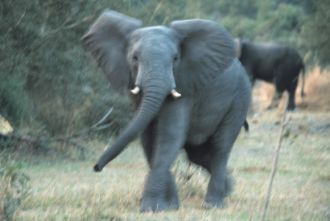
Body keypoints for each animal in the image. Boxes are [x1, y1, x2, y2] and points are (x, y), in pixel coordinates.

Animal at [82, 10, 250, 212]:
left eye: (175, 59)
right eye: (135, 58)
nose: (96, 167)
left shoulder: (184, 85)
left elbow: (169, 135)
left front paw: (151, 208)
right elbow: (149, 139)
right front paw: (170, 207)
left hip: (239, 99)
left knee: (220, 148)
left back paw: (213, 205)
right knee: (198, 154)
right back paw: (229, 188)